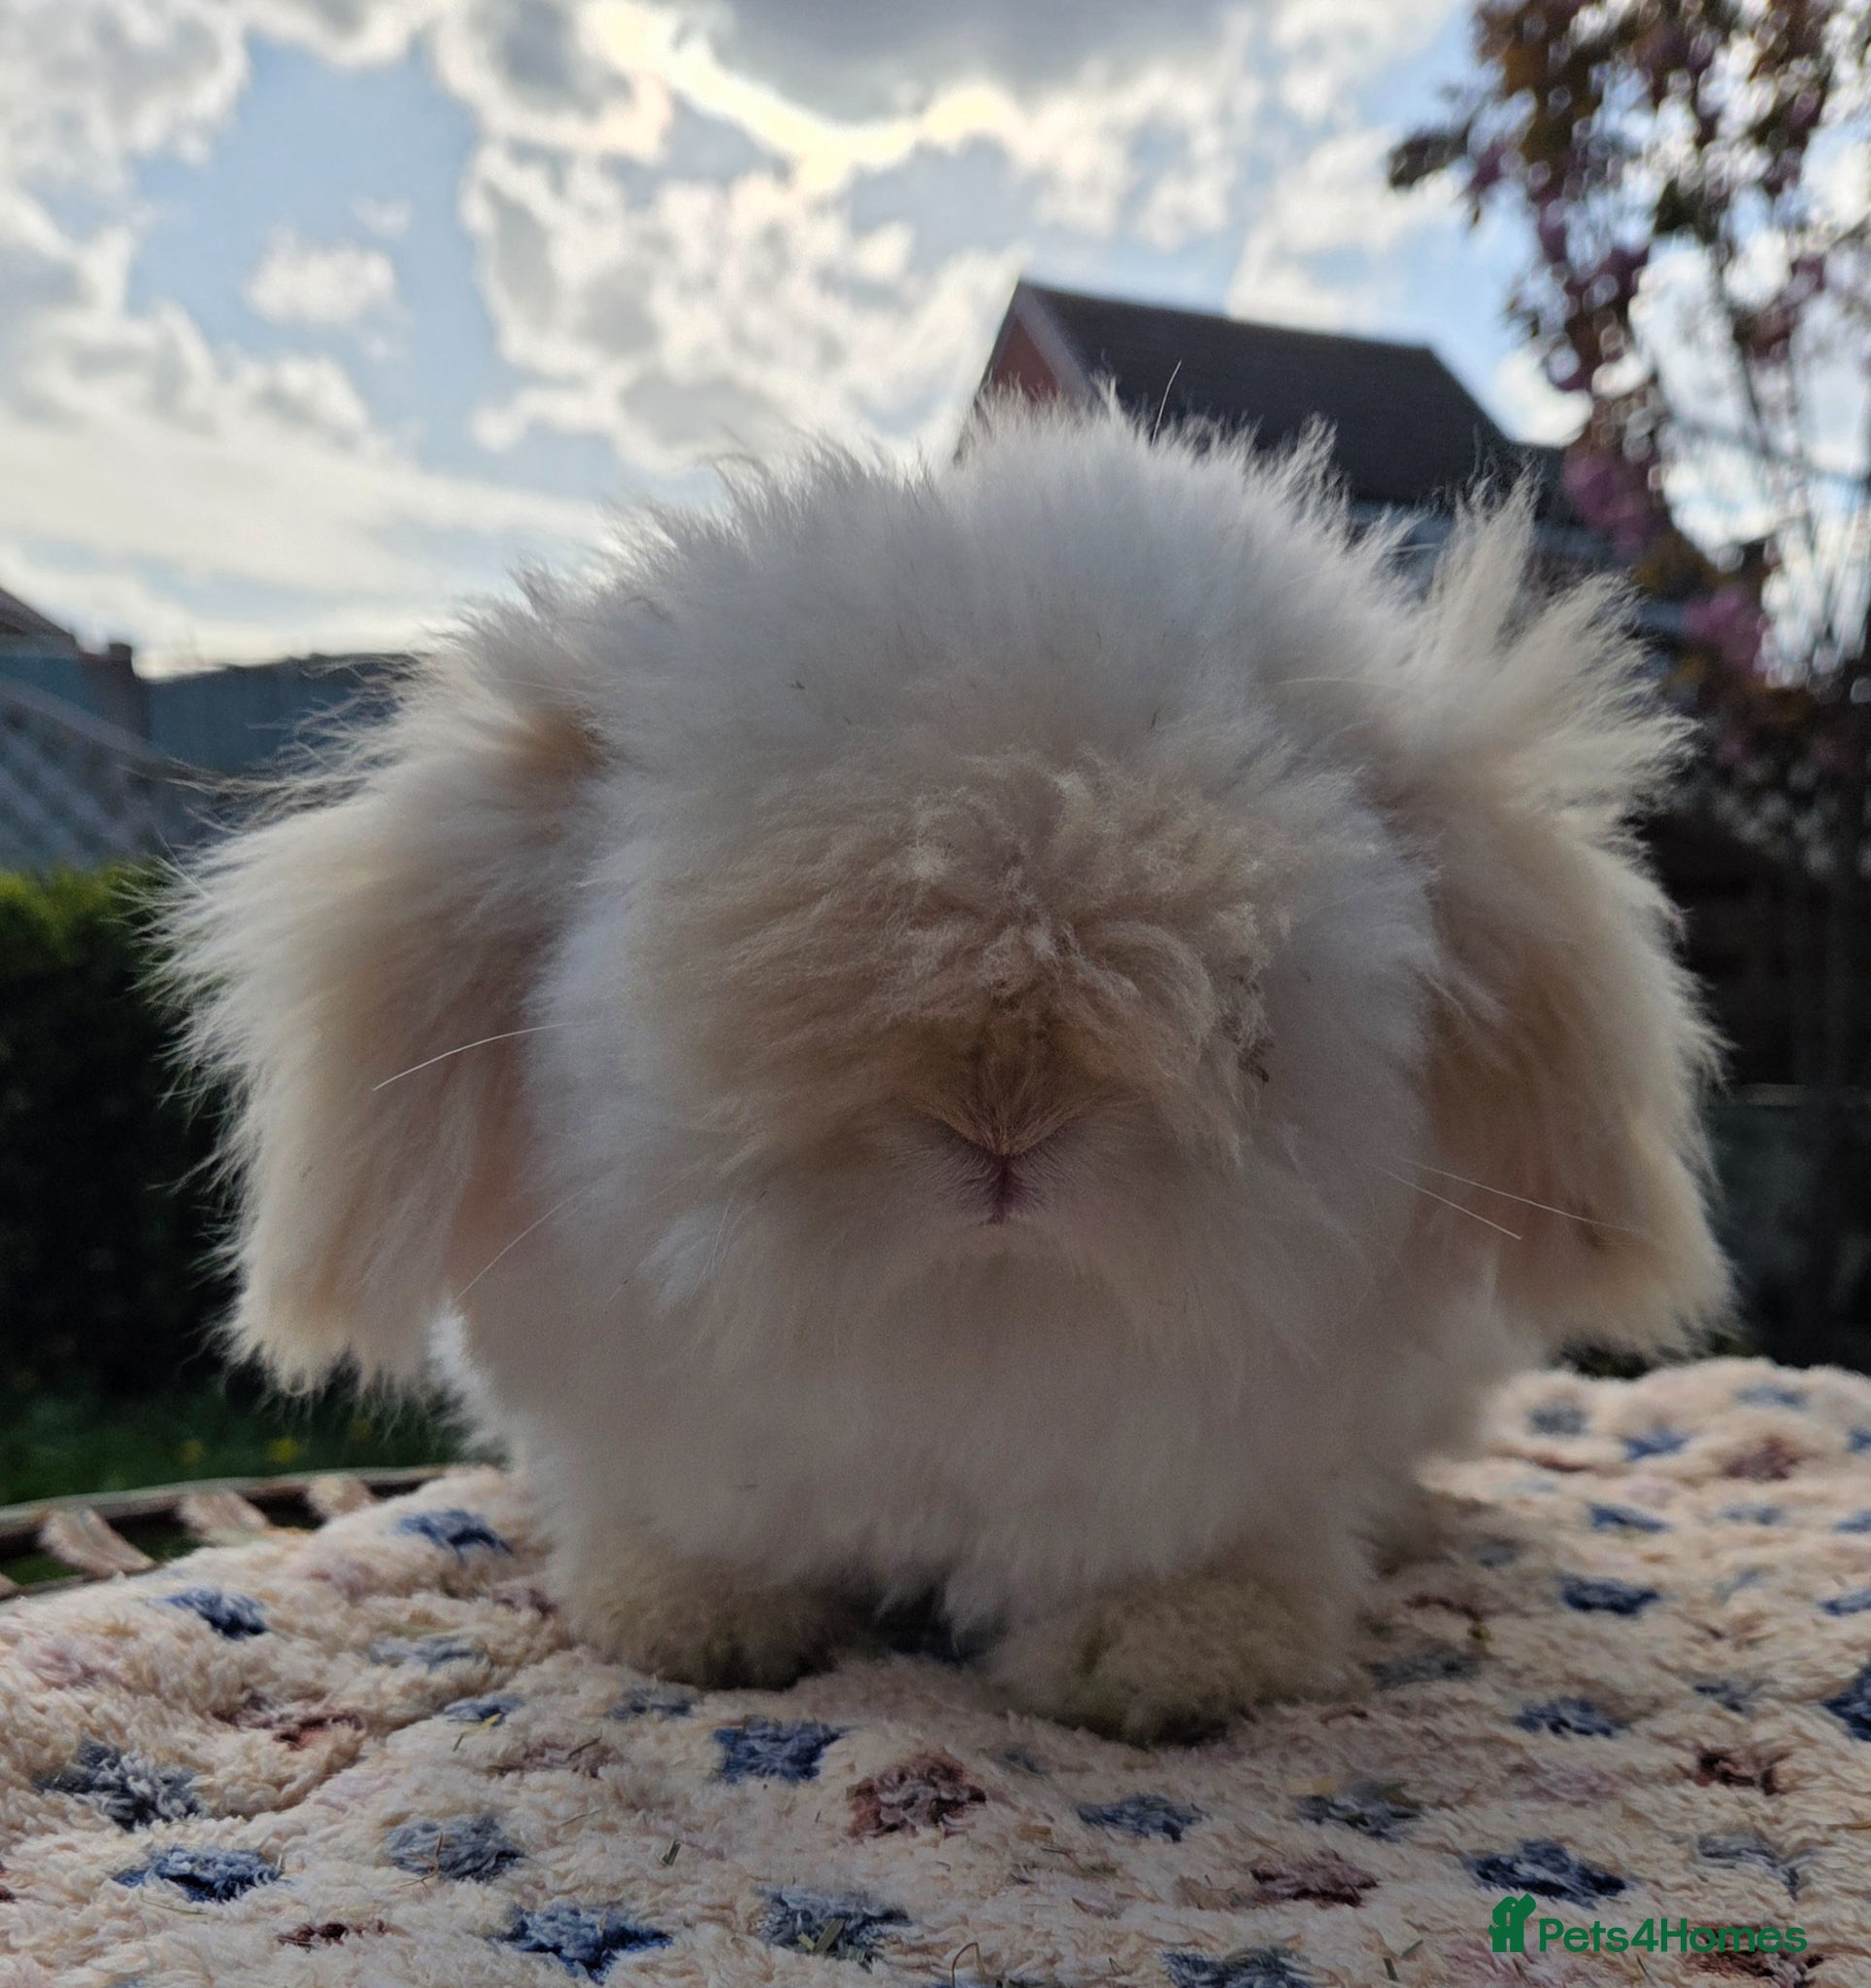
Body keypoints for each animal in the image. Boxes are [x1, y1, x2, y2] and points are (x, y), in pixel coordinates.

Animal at [170, 399, 1725, 1742]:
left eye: (1256, 1000)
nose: (1002, 1117)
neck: (973, 1335)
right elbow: (673, 1529)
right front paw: (690, 1619)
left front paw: (1160, 1658)